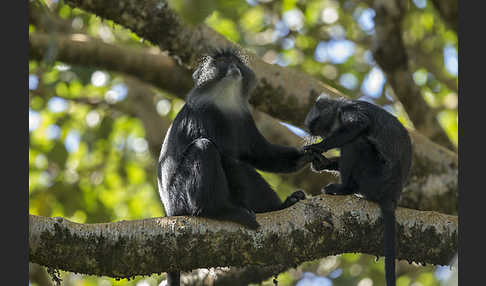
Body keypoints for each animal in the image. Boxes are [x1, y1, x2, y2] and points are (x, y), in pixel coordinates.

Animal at [159, 49, 318, 286]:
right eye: (222, 62)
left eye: (235, 62)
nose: (233, 67)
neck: (224, 99)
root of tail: (169, 212)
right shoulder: (203, 115)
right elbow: (229, 159)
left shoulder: (243, 118)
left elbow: (259, 153)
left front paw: (305, 157)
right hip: (180, 196)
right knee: (205, 148)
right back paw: (216, 210)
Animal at [306, 95, 412, 286]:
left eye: (317, 124)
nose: (321, 136)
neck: (338, 110)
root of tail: (391, 195)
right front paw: (321, 162)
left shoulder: (351, 110)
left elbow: (359, 125)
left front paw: (318, 147)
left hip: (373, 176)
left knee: (356, 142)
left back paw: (344, 188)